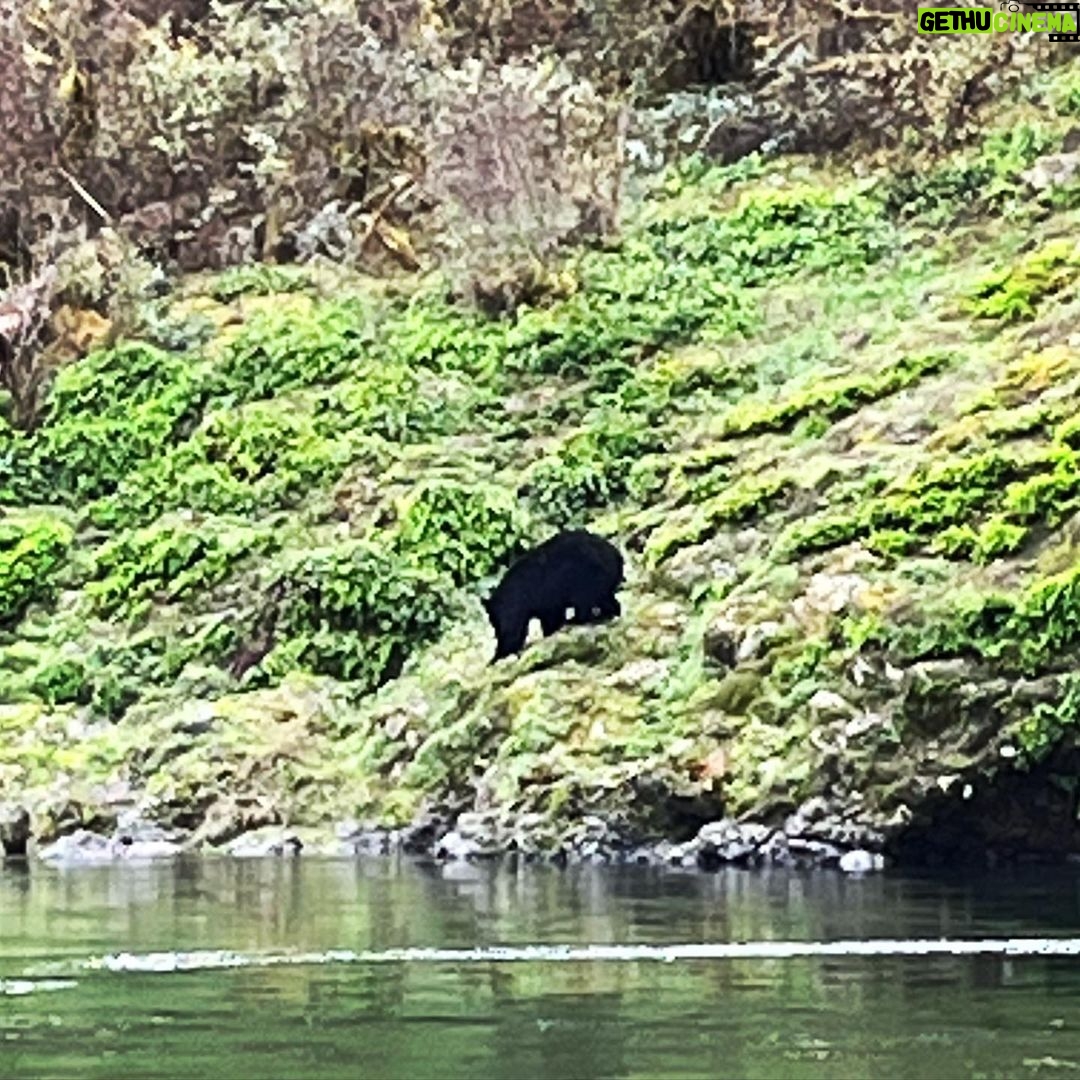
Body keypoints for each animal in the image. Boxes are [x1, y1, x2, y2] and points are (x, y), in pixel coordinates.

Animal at [483, 529, 624, 662]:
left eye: (495, 623)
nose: (496, 633)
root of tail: (617, 555)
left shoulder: (541, 595)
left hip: (586, 576)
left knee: (585, 601)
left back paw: (578, 619)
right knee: (606, 600)